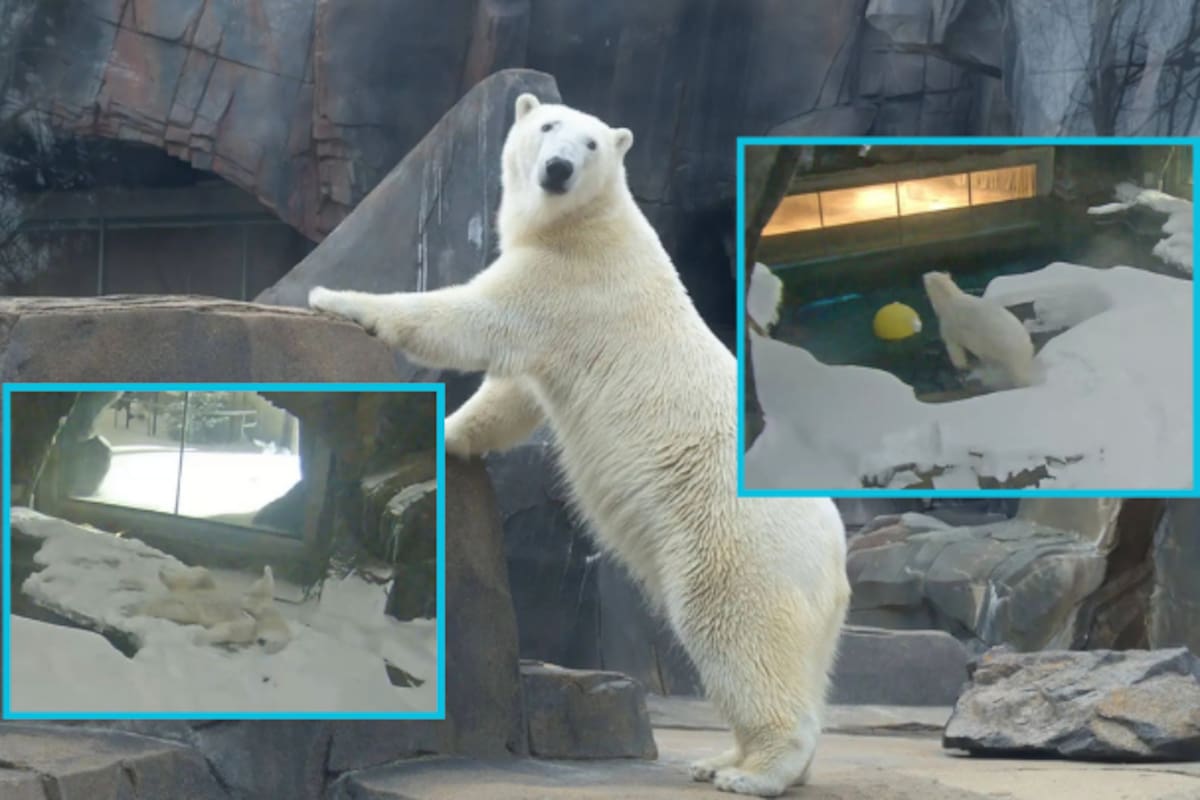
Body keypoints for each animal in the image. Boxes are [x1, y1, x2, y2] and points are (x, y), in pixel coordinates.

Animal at [308, 93, 850, 797]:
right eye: (547, 127)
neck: (590, 224)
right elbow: (514, 396)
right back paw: (723, 758)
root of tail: (837, 556)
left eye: (590, 144)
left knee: (738, 636)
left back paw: (751, 772)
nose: (558, 169)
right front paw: (450, 435)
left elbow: (470, 319)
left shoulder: (568, 283)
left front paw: (337, 298)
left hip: (740, 546)